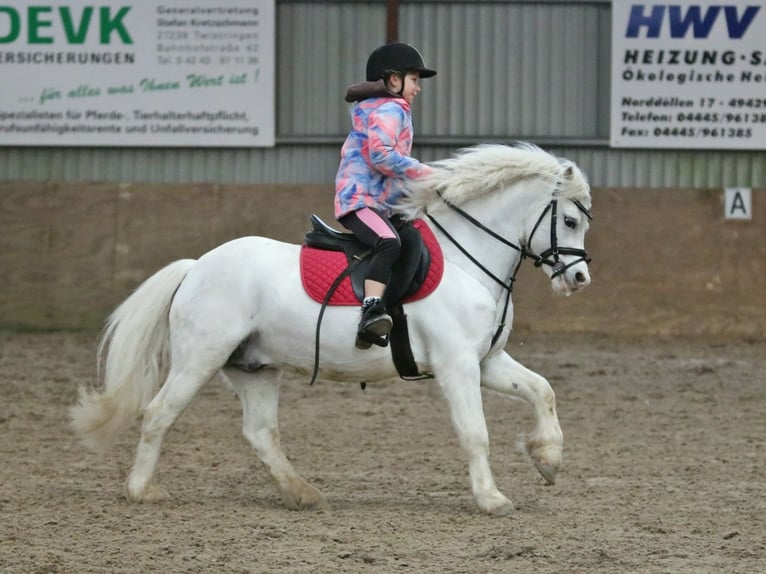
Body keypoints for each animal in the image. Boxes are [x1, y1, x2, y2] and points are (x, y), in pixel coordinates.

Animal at [72, 143, 592, 516]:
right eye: (568, 220)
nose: (579, 279)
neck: (469, 260)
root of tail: (196, 266)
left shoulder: (487, 361)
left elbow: (543, 391)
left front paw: (547, 459)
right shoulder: (457, 365)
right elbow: (474, 432)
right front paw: (492, 499)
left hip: (254, 367)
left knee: (260, 432)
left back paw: (303, 494)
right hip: (199, 360)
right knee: (160, 413)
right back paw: (142, 490)